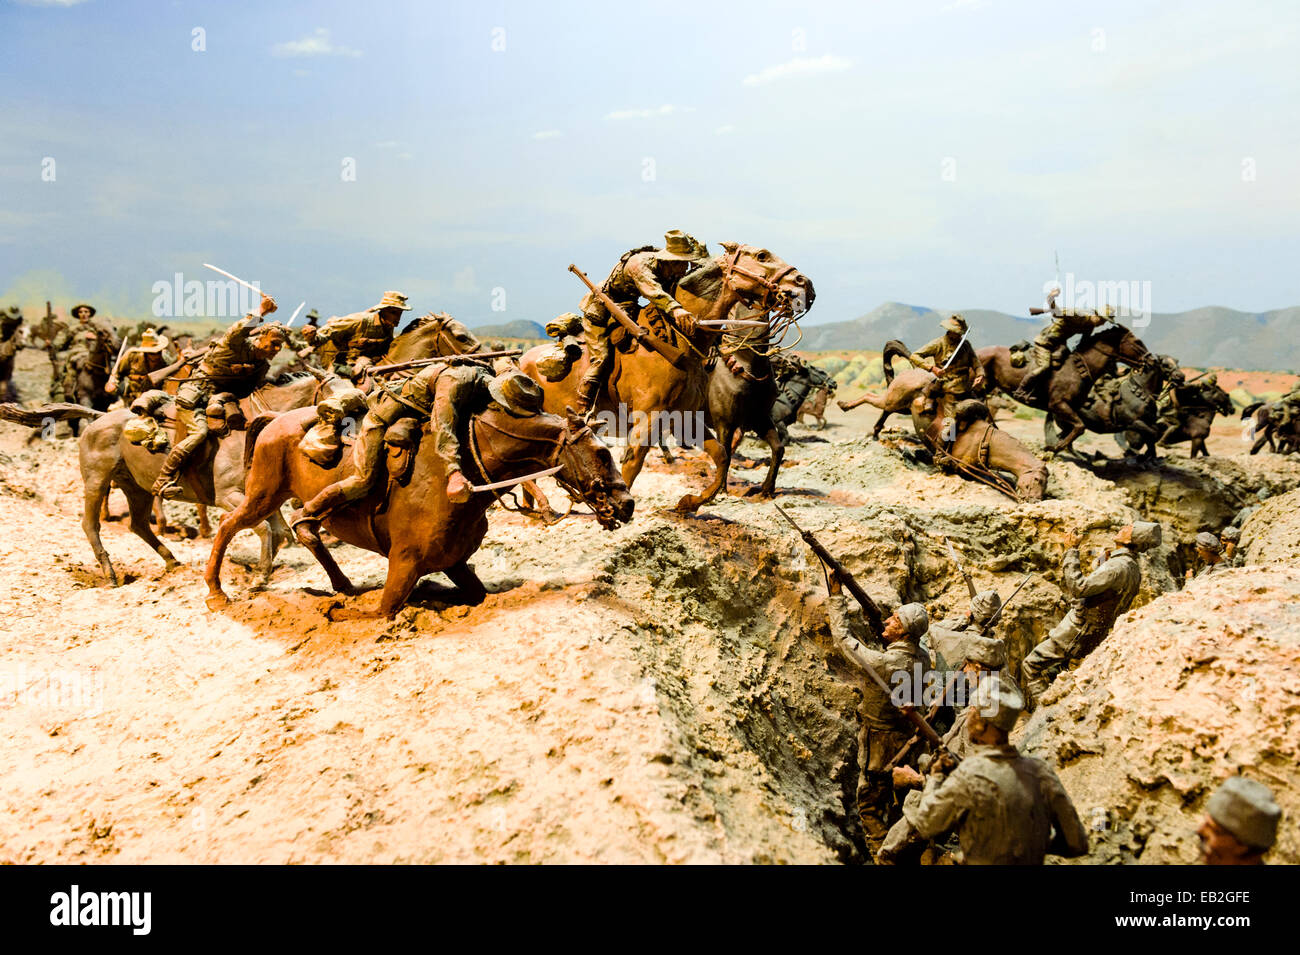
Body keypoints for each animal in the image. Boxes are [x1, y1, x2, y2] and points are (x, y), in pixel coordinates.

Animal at [205, 402, 637, 621]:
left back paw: (344, 586)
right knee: (229, 524)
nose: (627, 504)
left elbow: (477, 593)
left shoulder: (455, 563)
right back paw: (216, 592)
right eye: (602, 454)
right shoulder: (404, 565)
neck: (463, 479)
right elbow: (381, 612)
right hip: (263, 494)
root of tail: (275, 419)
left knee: (305, 529)